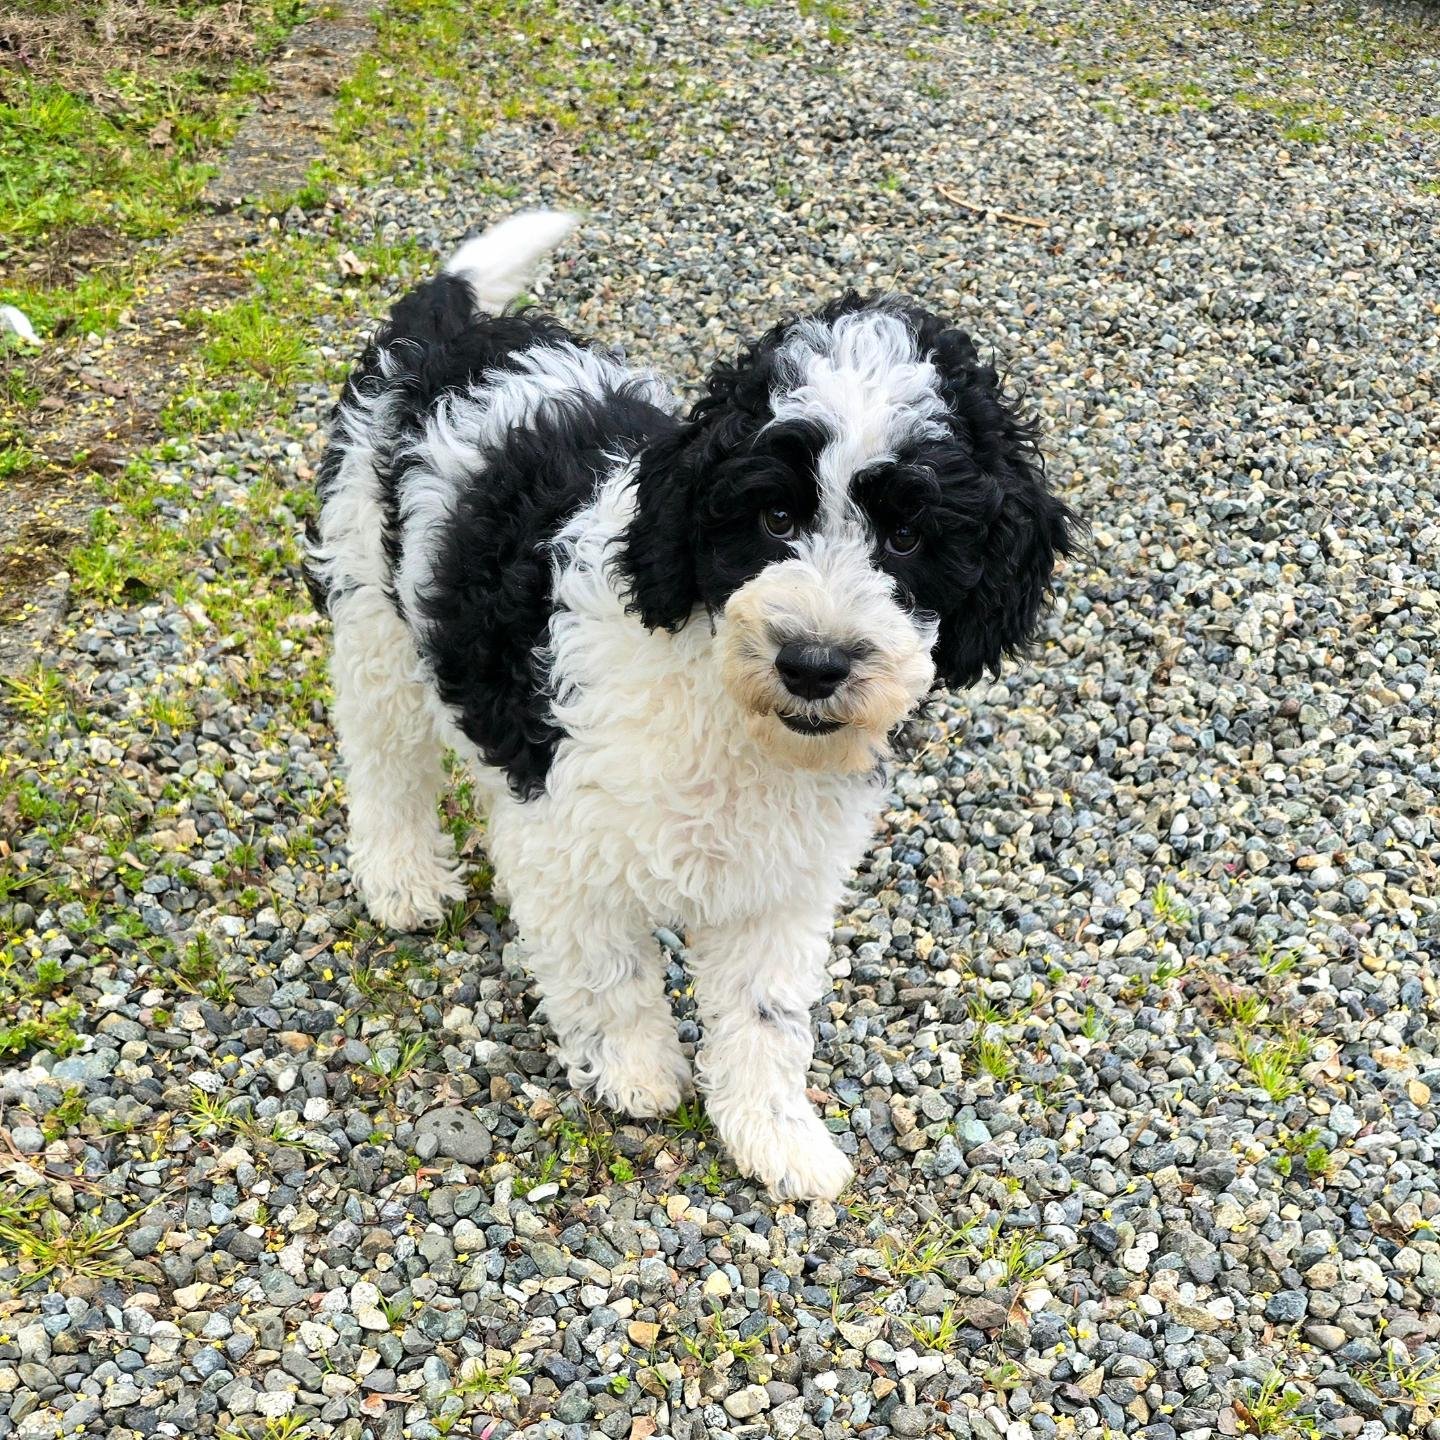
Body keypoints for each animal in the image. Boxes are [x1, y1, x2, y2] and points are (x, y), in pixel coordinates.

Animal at [312, 208, 1082, 1198]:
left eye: (909, 536)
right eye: (773, 518)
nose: (814, 663)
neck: (725, 702)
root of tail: (447, 331)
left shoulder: (779, 883)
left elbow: (765, 1016)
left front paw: (776, 1135)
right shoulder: (569, 832)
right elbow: (607, 966)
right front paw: (637, 1069)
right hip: (373, 610)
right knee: (385, 760)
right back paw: (403, 877)